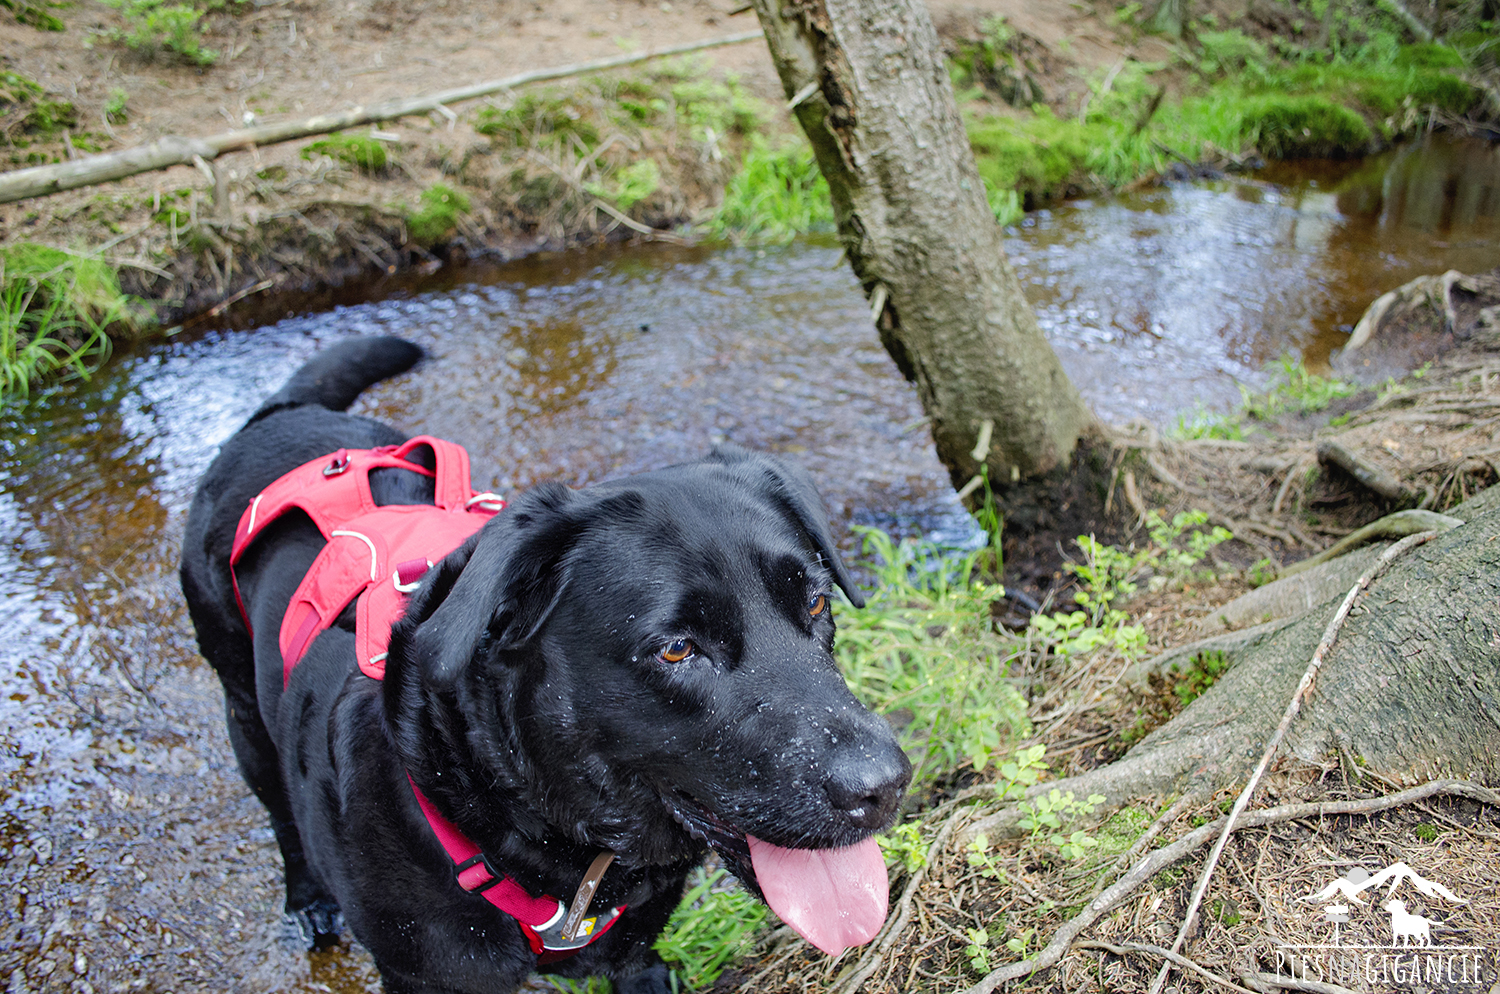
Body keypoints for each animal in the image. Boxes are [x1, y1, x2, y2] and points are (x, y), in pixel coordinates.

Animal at [181, 340, 906, 994]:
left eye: (814, 600)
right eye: (676, 649)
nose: (886, 786)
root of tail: (283, 414)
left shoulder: (637, 950)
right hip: (242, 710)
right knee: (279, 812)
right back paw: (308, 902)